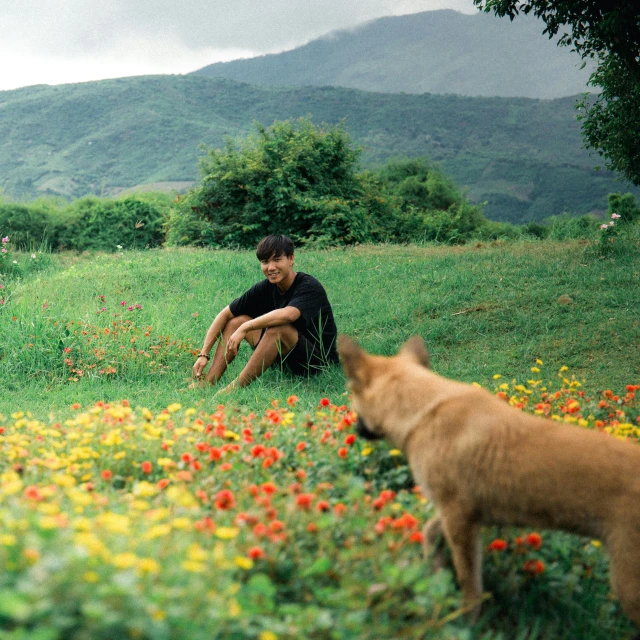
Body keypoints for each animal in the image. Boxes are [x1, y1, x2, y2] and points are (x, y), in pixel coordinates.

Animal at [340, 332, 640, 632]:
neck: (424, 411)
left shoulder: (459, 518)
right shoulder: (461, 512)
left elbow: (469, 584)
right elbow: (429, 532)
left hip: (628, 587)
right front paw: (432, 570)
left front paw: (465, 624)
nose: (356, 429)